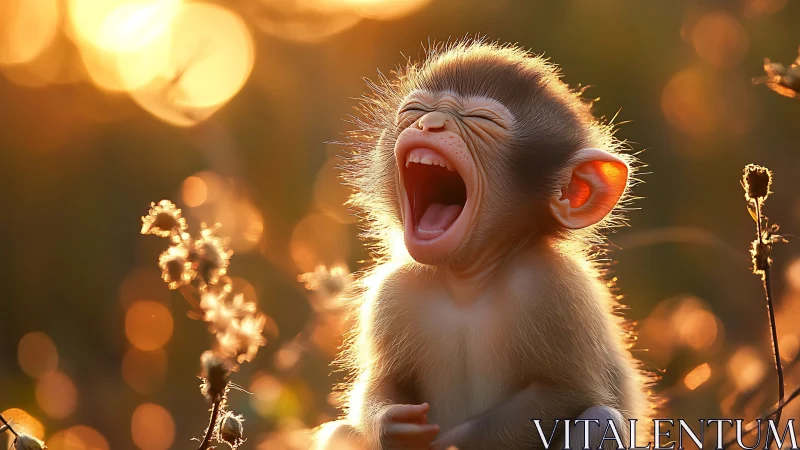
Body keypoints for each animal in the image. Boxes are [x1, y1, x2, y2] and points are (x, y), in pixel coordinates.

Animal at [313, 39, 656, 450]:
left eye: (482, 120)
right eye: (415, 111)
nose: (430, 123)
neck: (469, 282)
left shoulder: (557, 287)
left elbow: (565, 393)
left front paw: (448, 443)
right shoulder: (392, 292)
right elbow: (382, 383)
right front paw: (392, 424)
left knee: (599, 419)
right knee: (341, 433)